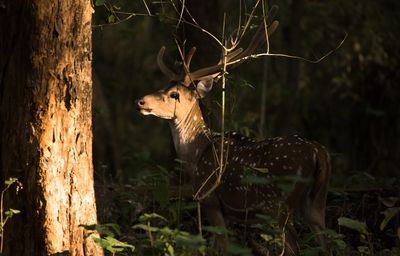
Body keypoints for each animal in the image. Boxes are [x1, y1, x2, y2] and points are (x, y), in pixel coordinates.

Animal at [136, 5, 330, 254]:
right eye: (164, 87)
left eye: (174, 94)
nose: (141, 101)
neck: (197, 155)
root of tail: (317, 151)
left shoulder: (210, 199)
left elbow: (224, 246)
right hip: (317, 201)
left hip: (277, 203)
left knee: (293, 246)